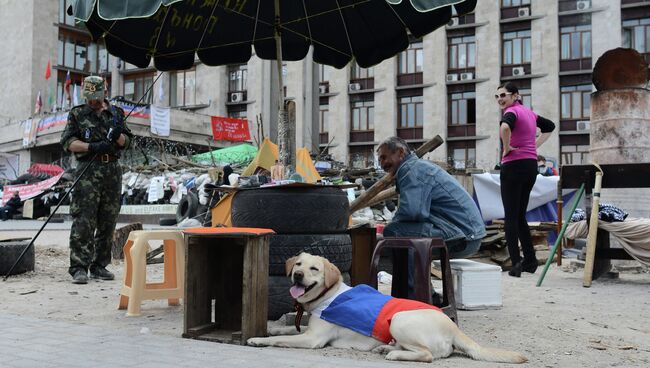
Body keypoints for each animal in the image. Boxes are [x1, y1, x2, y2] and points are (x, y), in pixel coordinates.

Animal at [248, 252, 528, 364]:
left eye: (314, 269)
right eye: (298, 264)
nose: (297, 276)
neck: (327, 295)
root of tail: (454, 328)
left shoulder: (313, 339)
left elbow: (281, 339)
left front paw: (258, 339)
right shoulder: (307, 330)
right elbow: (283, 331)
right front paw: (269, 330)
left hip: (400, 319)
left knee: (427, 355)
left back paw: (394, 354)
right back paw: (386, 347)